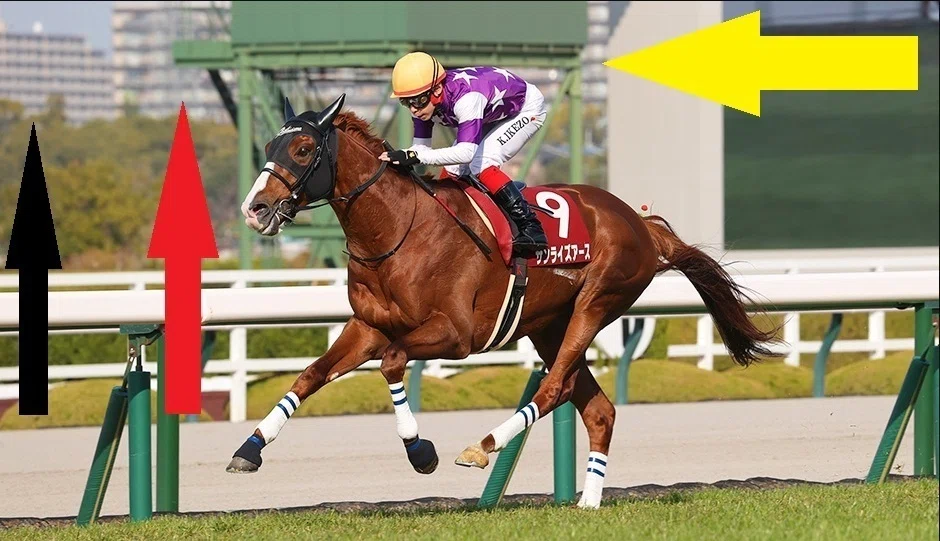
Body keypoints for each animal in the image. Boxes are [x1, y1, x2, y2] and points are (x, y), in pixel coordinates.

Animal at [226, 93, 783, 509]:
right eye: (271, 144)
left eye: (302, 149)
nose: (254, 209)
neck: (398, 230)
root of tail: (640, 223)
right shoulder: (366, 326)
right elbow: (310, 376)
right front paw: (249, 449)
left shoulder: (454, 335)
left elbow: (392, 363)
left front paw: (420, 451)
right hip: (549, 323)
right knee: (597, 408)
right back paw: (588, 503)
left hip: (598, 302)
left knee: (555, 386)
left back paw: (482, 446)